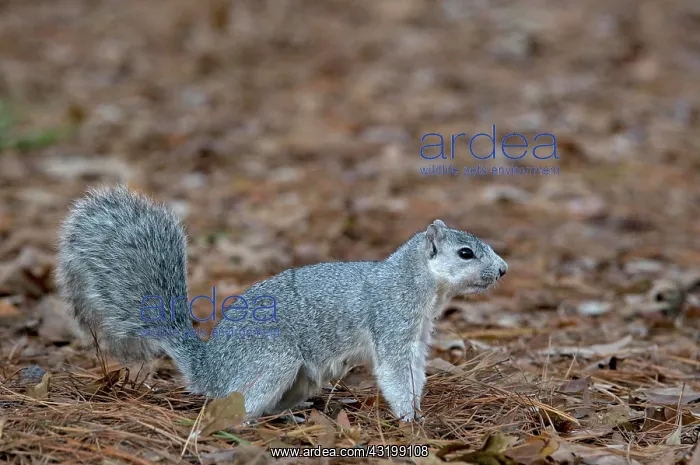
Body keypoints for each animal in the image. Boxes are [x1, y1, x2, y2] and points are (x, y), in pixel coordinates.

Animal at [56, 185, 508, 422]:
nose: (503, 270)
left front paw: (419, 411)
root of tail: (209, 371)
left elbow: (415, 372)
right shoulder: (392, 323)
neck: (417, 282)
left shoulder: (415, 336)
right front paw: (410, 419)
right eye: (466, 253)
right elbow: (396, 374)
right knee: (235, 407)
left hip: (301, 376)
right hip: (273, 362)